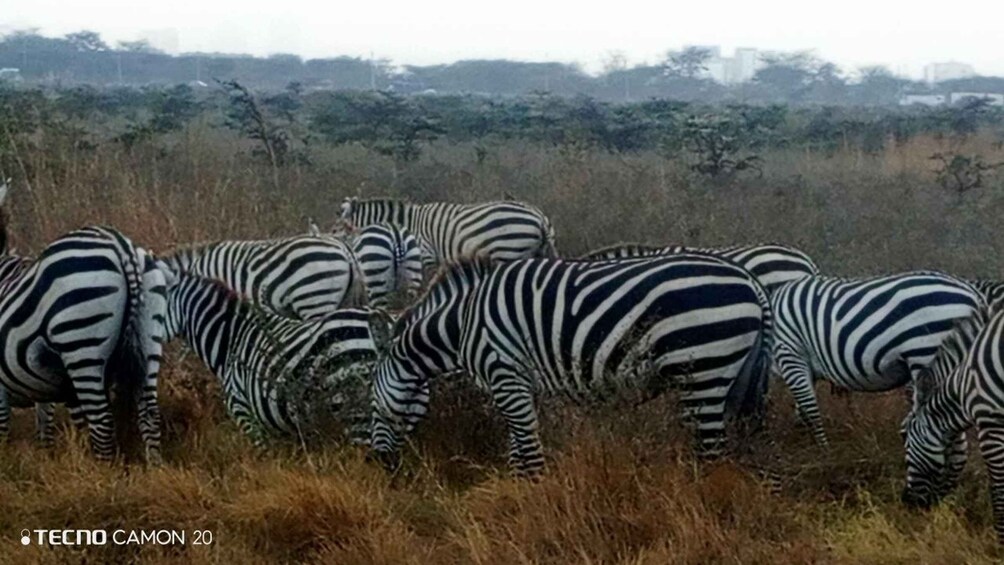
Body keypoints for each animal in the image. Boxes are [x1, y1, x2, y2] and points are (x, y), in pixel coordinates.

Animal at [0, 226, 170, 463]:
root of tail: (120, 244)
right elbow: (51, 423)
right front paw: (53, 454)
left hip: (81, 344)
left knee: (102, 421)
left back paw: (101, 471)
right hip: (149, 340)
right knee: (149, 413)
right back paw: (154, 467)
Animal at [340, 197, 557, 266]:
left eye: (339, 228)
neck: (408, 223)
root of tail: (539, 217)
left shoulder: (425, 254)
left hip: (508, 251)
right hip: (536, 252)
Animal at [369, 254, 774, 476]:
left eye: (372, 406)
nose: (380, 464)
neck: (463, 320)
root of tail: (749, 280)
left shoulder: (505, 373)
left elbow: (527, 446)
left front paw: (533, 497)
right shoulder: (519, 383)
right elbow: (517, 447)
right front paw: (518, 490)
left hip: (703, 371)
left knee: (712, 451)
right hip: (735, 376)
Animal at [771, 271, 984, 447]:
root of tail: (973, 294)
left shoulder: (790, 353)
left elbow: (810, 407)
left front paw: (824, 451)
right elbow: (803, 409)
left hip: (927, 350)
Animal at [899, 306, 1004, 543]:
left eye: (904, 437)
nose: (907, 500)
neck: (963, 384)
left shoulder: (991, 424)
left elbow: (998, 487)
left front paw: (1000, 535)